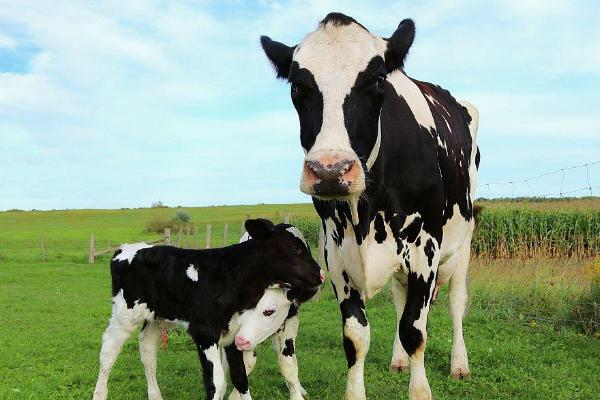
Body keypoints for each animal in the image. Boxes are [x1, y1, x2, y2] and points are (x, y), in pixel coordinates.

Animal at [92, 219, 324, 400]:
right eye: (294, 249)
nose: (320, 274)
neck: (230, 276)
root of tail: (126, 248)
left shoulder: (233, 334)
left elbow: (240, 377)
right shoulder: (204, 333)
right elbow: (217, 381)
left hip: (156, 316)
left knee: (147, 349)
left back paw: (155, 395)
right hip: (125, 313)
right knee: (109, 350)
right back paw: (100, 394)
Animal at [260, 12, 480, 400]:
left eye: (378, 81)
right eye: (297, 86)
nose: (330, 170)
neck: (364, 213)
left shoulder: (425, 246)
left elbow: (415, 330)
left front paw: (420, 388)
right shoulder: (335, 254)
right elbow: (356, 337)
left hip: (462, 243)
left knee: (456, 303)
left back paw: (459, 364)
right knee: (399, 299)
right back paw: (398, 360)